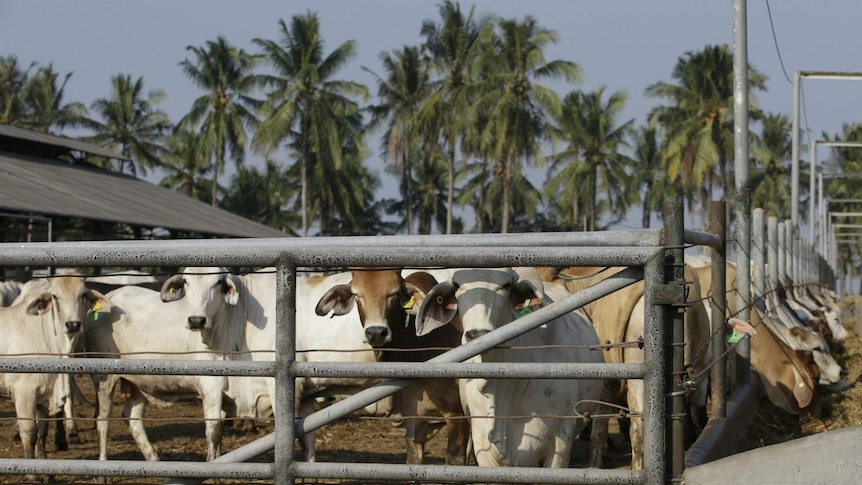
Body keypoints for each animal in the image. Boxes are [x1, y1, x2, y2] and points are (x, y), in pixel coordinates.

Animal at [0, 272, 109, 466]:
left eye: (83, 294)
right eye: (55, 296)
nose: (73, 325)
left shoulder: (43, 395)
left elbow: (42, 431)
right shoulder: (24, 392)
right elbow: (29, 433)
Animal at [84, 286, 230, 460]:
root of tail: (110, 295)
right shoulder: (211, 386)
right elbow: (214, 430)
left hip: (139, 382)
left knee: (132, 417)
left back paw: (153, 458)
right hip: (103, 378)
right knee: (102, 420)